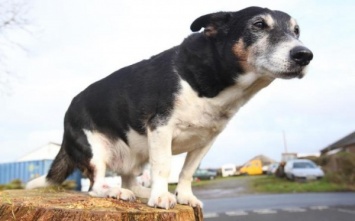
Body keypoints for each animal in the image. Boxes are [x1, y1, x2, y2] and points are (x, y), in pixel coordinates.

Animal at [26, 6, 312, 209]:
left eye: (296, 31)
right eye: (259, 25)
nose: (304, 55)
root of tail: (66, 119)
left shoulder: (206, 140)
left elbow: (187, 172)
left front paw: (183, 196)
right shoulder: (161, 128)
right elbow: (163, 167)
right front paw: (162, 197)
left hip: (136, 154)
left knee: (130, 177)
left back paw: (139, 191)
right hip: (96, 152)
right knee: (95, 187)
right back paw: (118, 191)